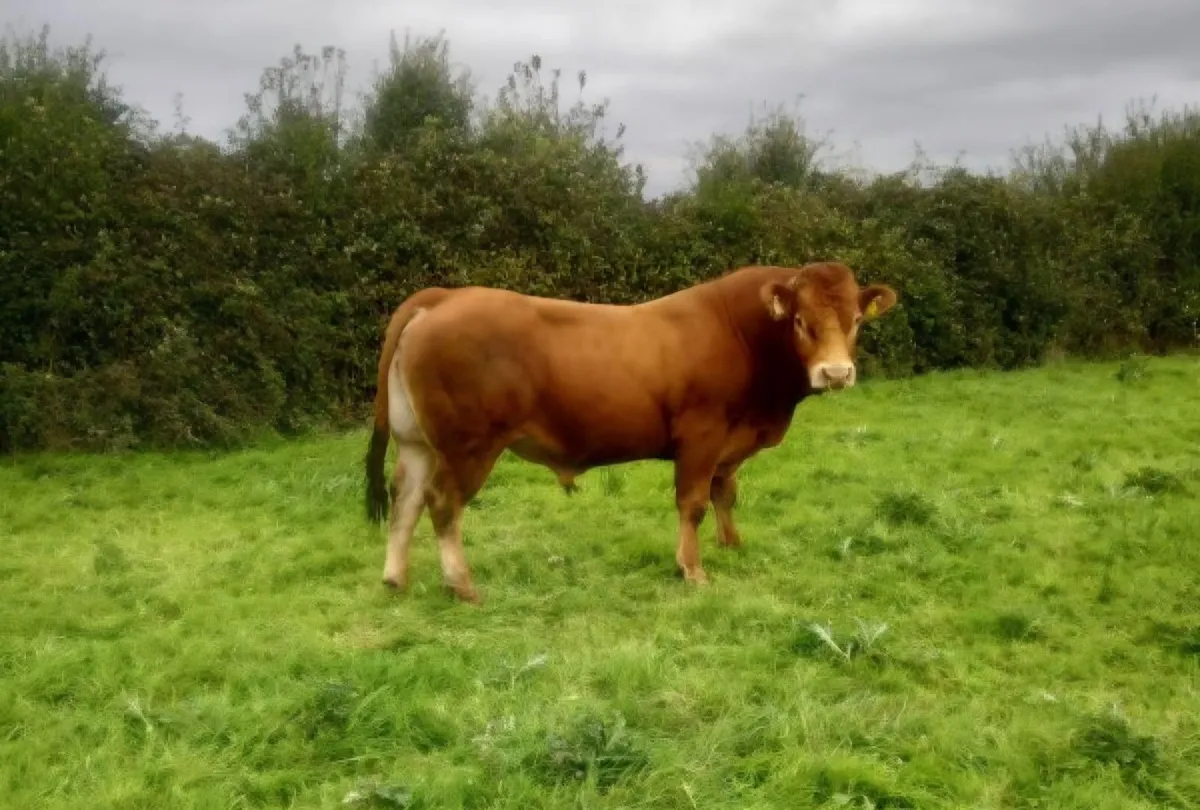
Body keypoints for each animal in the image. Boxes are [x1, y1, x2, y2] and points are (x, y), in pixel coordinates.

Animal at [363, 261, 898, 603]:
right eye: (802, 322)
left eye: (855, 320)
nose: (835, 373)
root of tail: (445, 296)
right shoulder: (701, 436)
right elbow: (693, 503)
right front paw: (692, 570)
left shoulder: (730, 443)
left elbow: (726, 494)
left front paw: (733, 544)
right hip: (468, 446)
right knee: (442, 504)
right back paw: (461, 585)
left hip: (416, 443)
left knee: (405, 498)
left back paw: (394, 578)